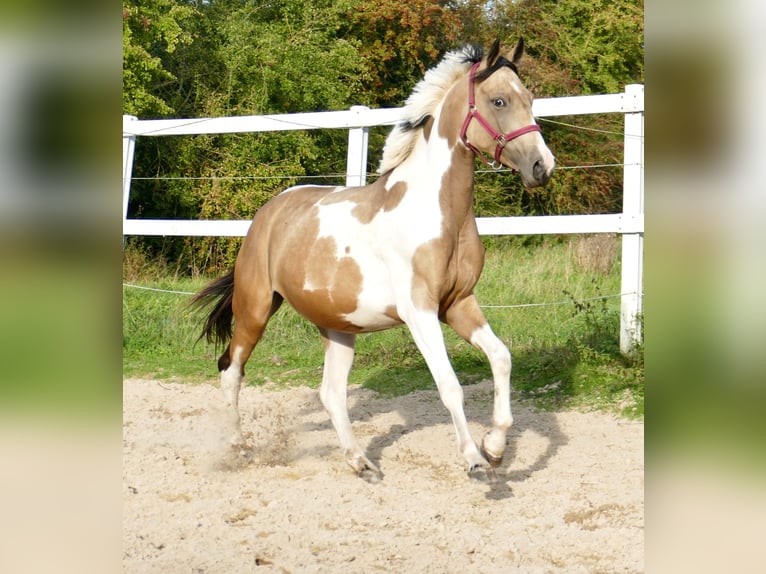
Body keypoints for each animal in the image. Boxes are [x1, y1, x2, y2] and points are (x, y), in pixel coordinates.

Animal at [191, 38, 552, 484]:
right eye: (499, 100)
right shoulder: (420, 312)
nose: (542, 167)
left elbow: (501, 358)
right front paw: (475, 461)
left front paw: (496, 448)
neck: (437, 213)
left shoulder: (458, 304)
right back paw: (239, 448)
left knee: (331, 393)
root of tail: (268, 212)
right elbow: (450, 386)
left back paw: (361, 462)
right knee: (231, 369)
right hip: (255, 308)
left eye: (530, 99)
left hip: (338, 326)